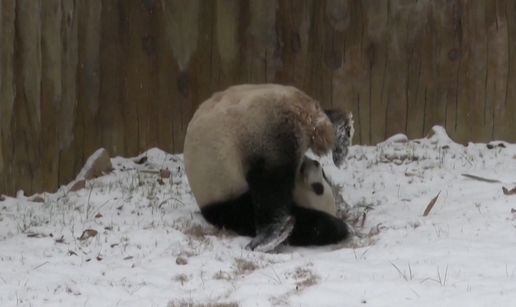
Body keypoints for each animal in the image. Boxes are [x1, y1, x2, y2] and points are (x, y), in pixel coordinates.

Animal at [182, 84, 354, 253]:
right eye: (318, 187)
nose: (316, 165)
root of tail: (299, 107)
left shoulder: (230, 203)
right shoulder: (229, 202)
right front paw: (340, 227)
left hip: (266, 134)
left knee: (270, 186)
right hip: (262, 129)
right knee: (272, 184)